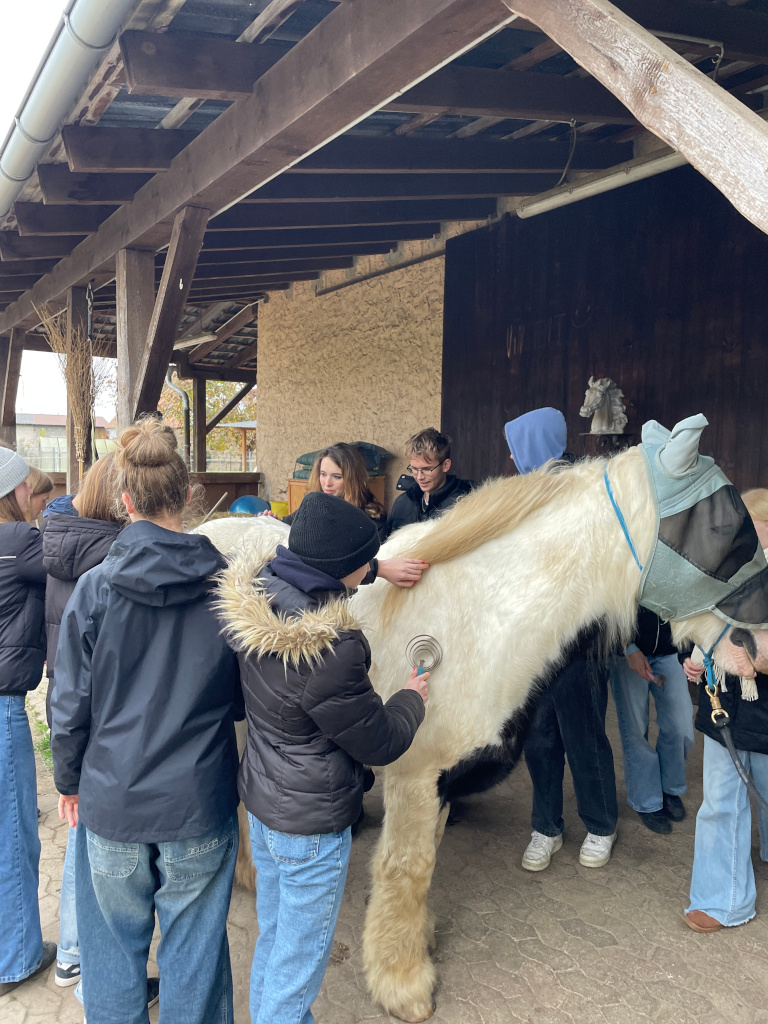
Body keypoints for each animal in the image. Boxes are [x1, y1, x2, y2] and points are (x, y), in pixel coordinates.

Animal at [196, 417, 768, 1024]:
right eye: (729, 531)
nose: (756, 651)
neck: (473, 616)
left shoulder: (441, 781)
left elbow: (420, 865)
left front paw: (416, 940)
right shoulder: (415, 776)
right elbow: (407, 867)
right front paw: (403, 984)